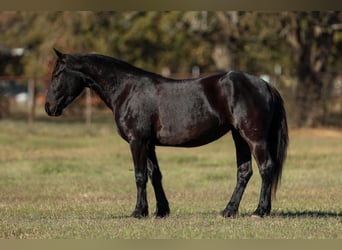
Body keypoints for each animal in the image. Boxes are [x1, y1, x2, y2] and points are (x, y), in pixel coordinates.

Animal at [44, 48, 288, 217]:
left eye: (57, 74)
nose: (48, 107)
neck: (127, 90)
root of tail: (265, 84)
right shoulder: (148, 144)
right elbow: (155, 175)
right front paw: (160, 211)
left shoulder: (137, 141)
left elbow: (140, 176)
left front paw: (138, 212)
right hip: (239, 137)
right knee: (244, 172)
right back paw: (229, 210)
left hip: (253, 138)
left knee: (266, 168)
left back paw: (260, 211)